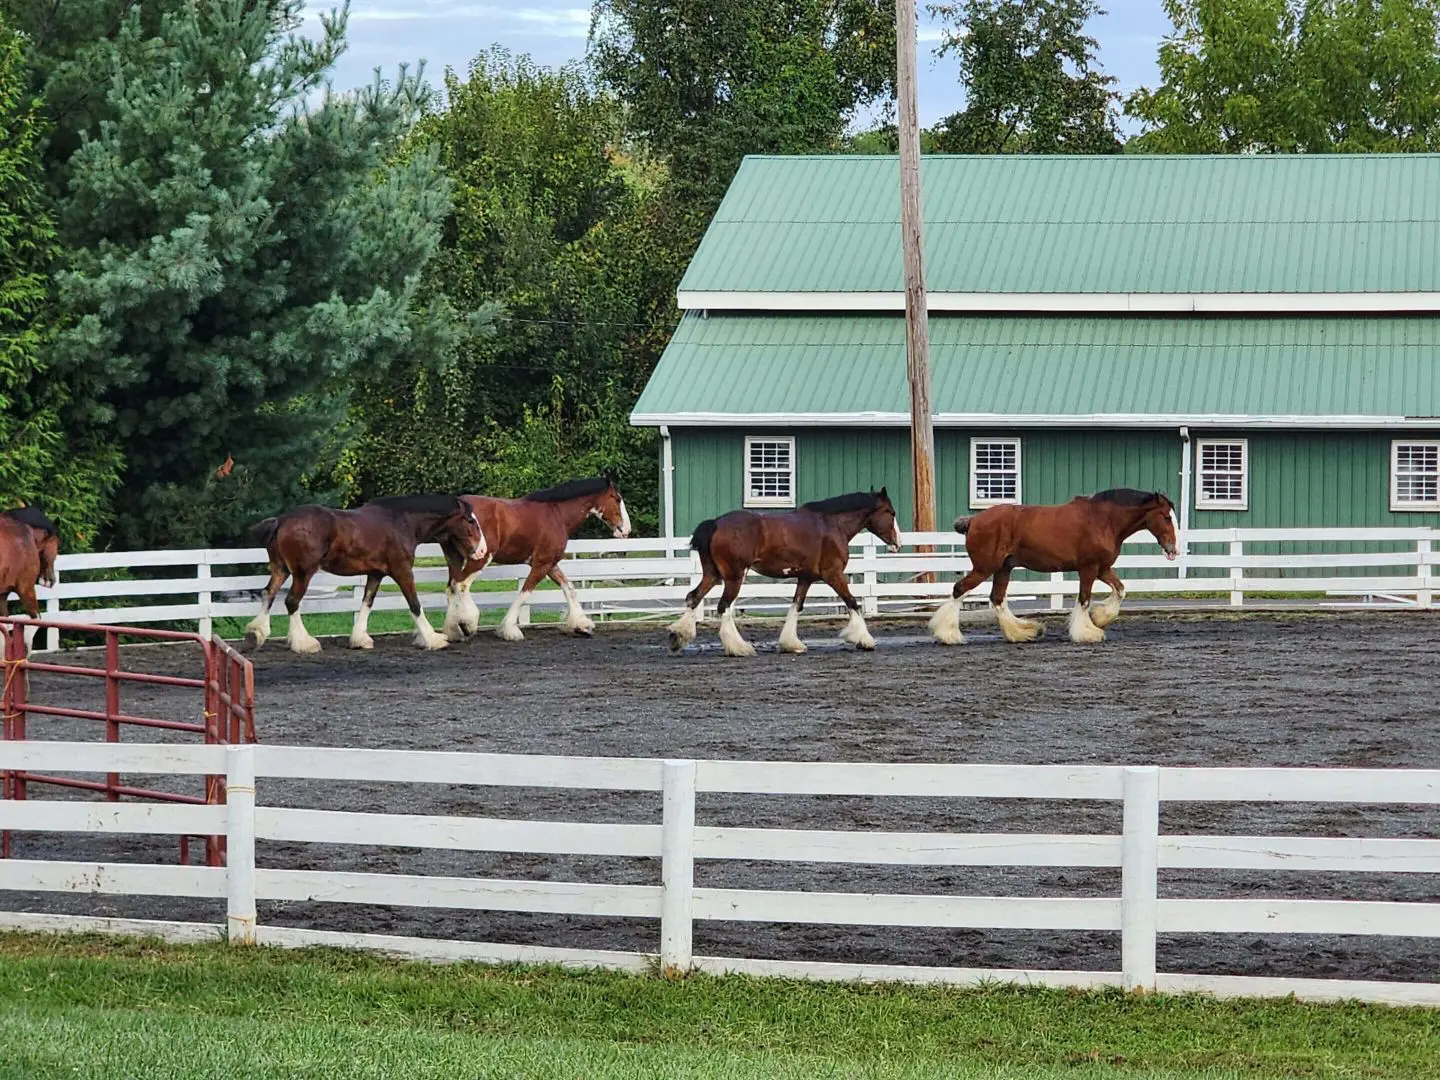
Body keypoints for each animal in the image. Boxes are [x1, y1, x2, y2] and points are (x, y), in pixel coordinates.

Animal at [246, 495, 489, 656]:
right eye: (470, 521)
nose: (482, 550)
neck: (401, 522)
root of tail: (281, 520)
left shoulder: (375, 574)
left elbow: (367, 603)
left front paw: (359, 639)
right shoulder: (402, 571)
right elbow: (414, 604)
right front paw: (433, 639)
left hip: (281, 569)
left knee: (268, 594)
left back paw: (255, 634)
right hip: (303, 573)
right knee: (291, 602)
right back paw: (305, 643)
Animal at [437, 475, 630, 642]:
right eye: (617, 498)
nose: (626, 530)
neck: (557, 514)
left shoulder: (550, 563)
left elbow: (569, 588)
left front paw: (582, 625)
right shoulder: (541, 564)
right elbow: (524, 593)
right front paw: (509, 630)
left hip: (454, 557)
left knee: (451, 587)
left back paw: (453, 630)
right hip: (480, 558)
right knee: (461, 585)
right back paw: (467, 625)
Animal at [665, 489, 898, 659]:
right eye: (891, 513)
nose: (897, 543)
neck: (832, 525)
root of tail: (715, 523)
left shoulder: (805, 578)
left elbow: (796, 606)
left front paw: (791, 644)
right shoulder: (834, 575)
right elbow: (852, 602)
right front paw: (864, 640)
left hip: (713, 575)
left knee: (694, 597)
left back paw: (678, 637)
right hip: (734, 577)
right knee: (724, 607)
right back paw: (739, 648)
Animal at [927, 489, 1175, 650]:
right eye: (1165, 516)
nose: (1173, 549)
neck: (1103, 520)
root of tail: (973, 520)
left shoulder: (1102, 568)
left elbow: (1120, 590)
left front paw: (1100, 618)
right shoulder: (1088, 568)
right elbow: (1084, 599)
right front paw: (1087, 632)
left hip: (1003, 568)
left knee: (997, 599)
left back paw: (1022, 632)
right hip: (984, 567)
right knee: (959, 590)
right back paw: (949, 635)